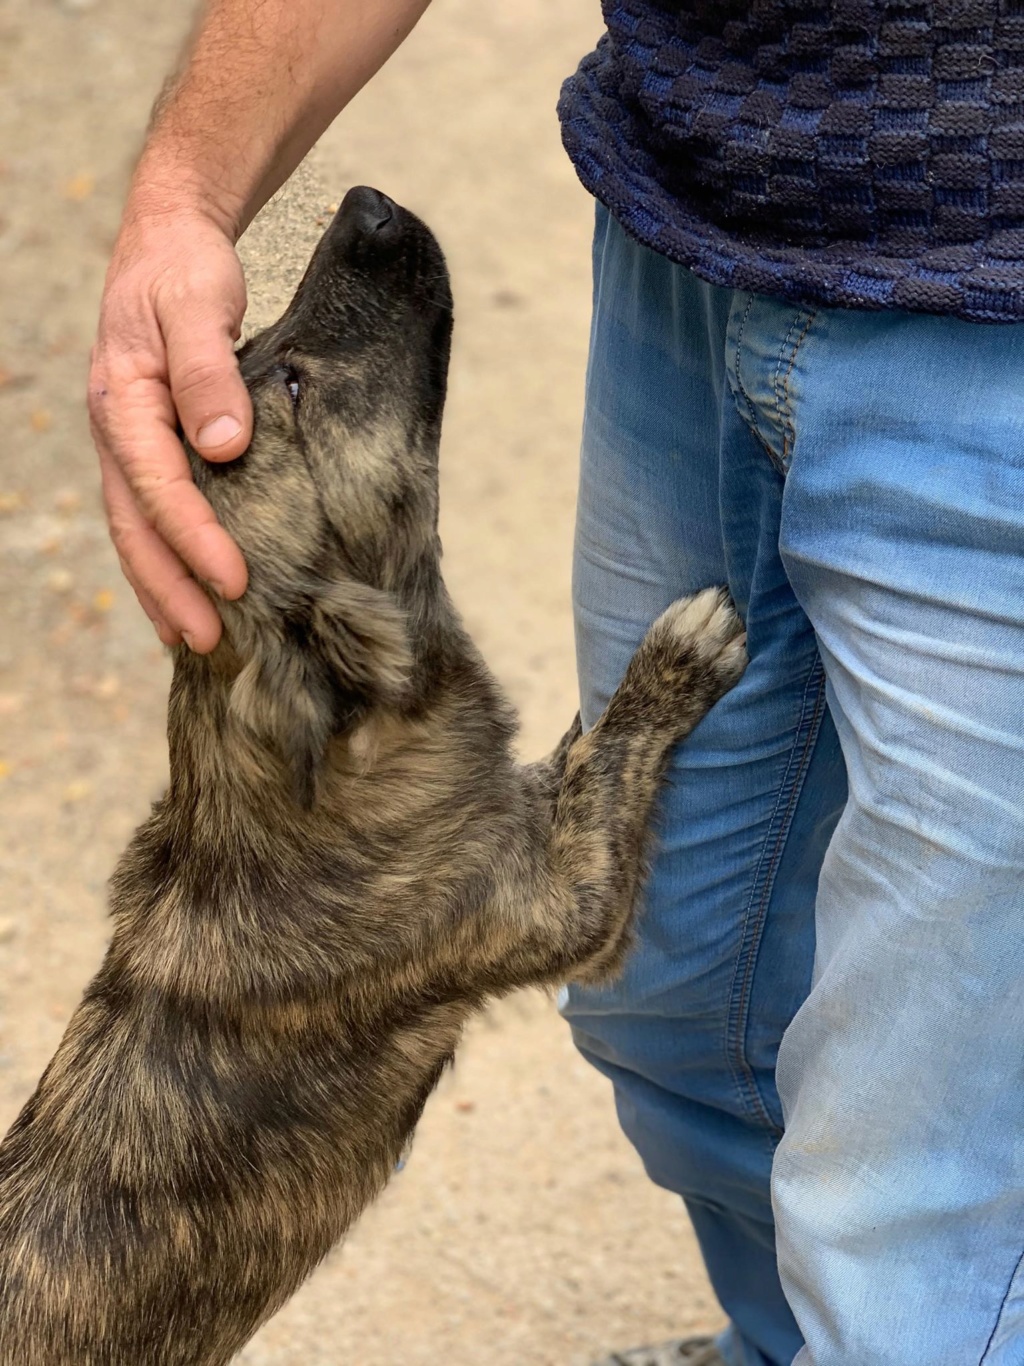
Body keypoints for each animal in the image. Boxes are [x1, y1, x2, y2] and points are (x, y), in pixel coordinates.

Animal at [0, 189, 748, 1366]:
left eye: (259, 355)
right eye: (294, 384)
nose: (366, 204)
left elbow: (565, 760)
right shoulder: (568, 905)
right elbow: (605, 760)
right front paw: (673, 662)